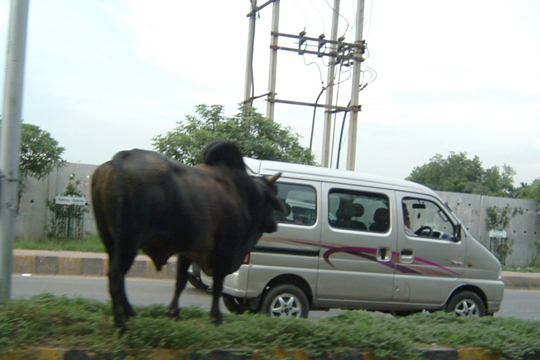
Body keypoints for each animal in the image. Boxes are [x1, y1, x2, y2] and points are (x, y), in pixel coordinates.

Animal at [92, 141, 286, 330]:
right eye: (272, 199)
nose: (274, 224)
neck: (244, 195)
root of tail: (122, 157)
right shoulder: (225, 251)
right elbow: (218, 285)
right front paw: (216, 318)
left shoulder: (188, 250)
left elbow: (181, 280)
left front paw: (173, 312)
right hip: (128, 242)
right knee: (116, 275)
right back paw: (121, 323)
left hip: (111, 242)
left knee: (118, 277)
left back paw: (130, 313)